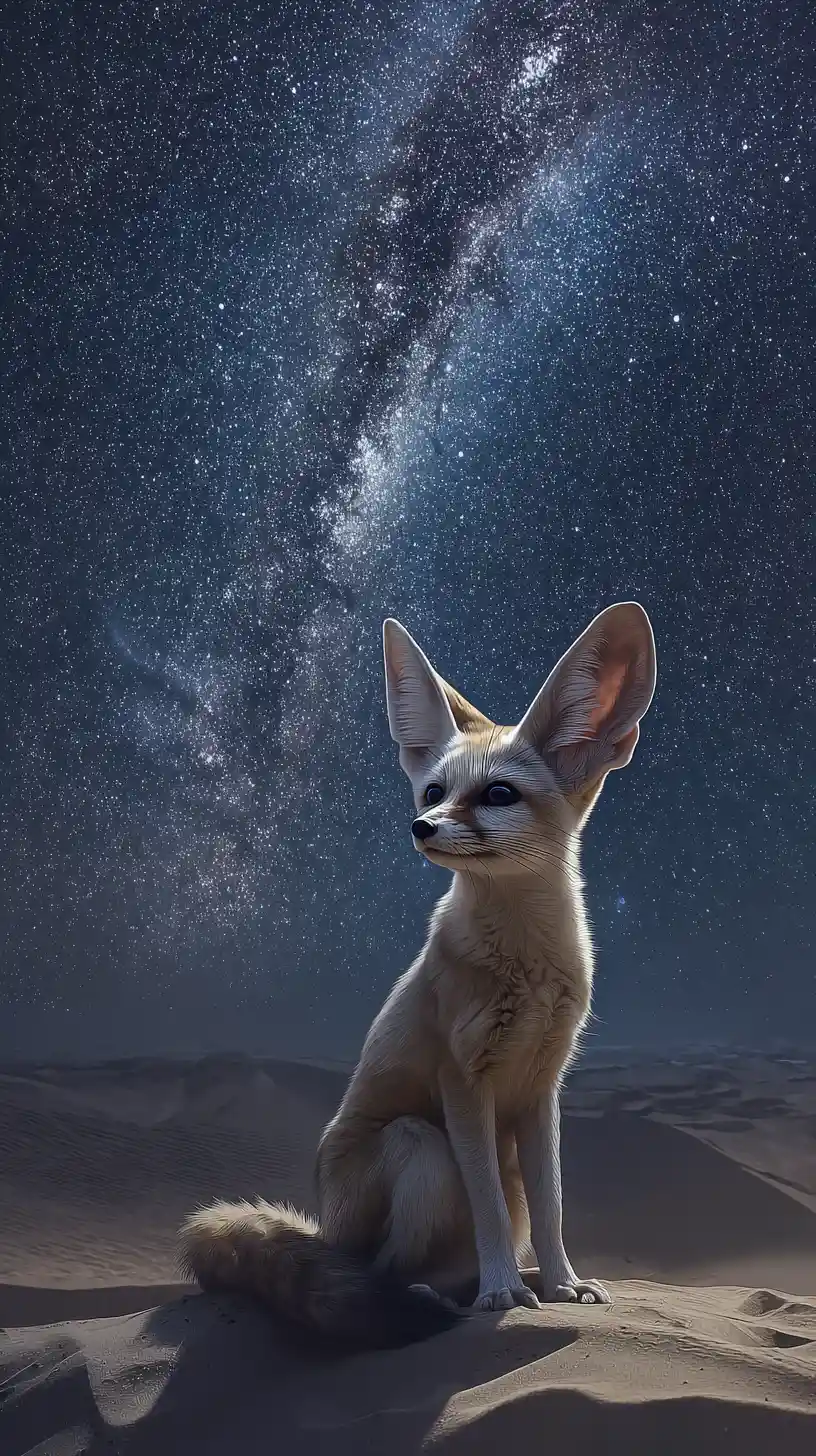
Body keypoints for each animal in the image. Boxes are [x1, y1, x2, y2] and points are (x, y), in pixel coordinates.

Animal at [180, 601, 657, 1349]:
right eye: (434, 790)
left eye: (497, 794)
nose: (421, 825)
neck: (525, 966)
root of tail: (323, 1226)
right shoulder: (462, 1081)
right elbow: (488, 1208)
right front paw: (503, 1293)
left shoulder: (541, 1088)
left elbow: (551, 1208)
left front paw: (561, 1285)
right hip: (419, 1146)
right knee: (380, 1267)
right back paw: (437, 1295)